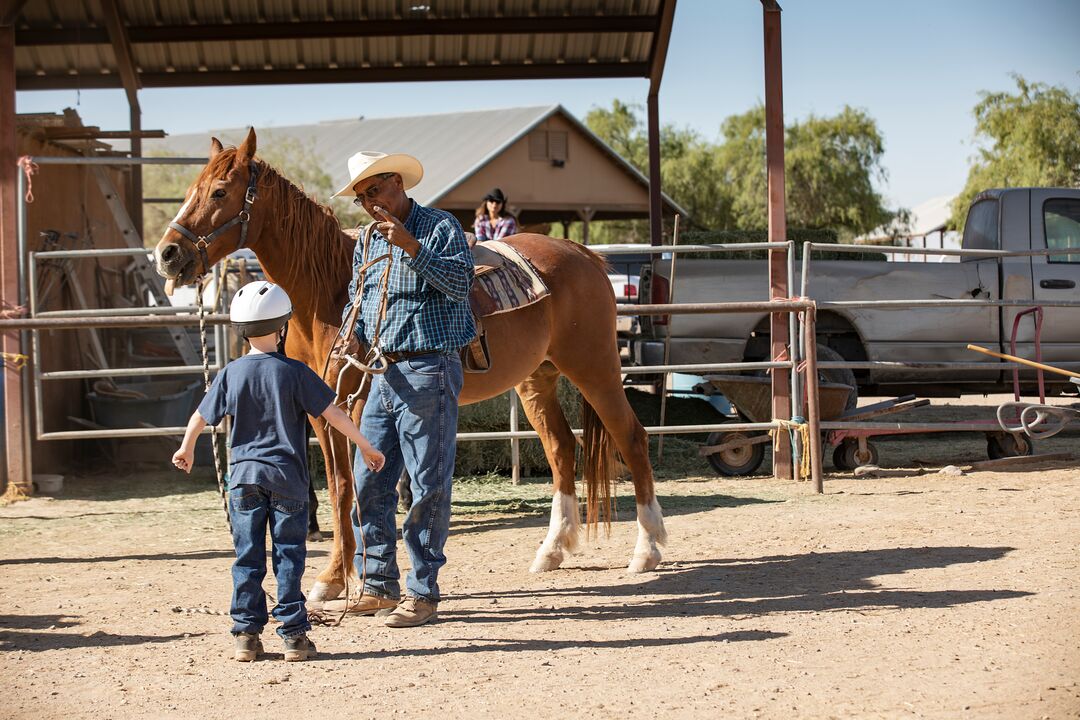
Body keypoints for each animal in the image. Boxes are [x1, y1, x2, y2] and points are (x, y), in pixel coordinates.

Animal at [153, 131, 665, 604]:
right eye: (192, 190)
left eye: (220, 191)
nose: (167, 254)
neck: (330, 290)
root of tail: (585, 255)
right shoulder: (322, 410)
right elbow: (340, 487)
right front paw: (334, 578)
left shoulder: (357, 405)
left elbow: (360, 489)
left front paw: (357, 578)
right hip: (537, 380)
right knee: (560, 450)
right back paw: (552, 550)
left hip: (595, 369)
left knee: (632, 438)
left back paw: (648, 549)